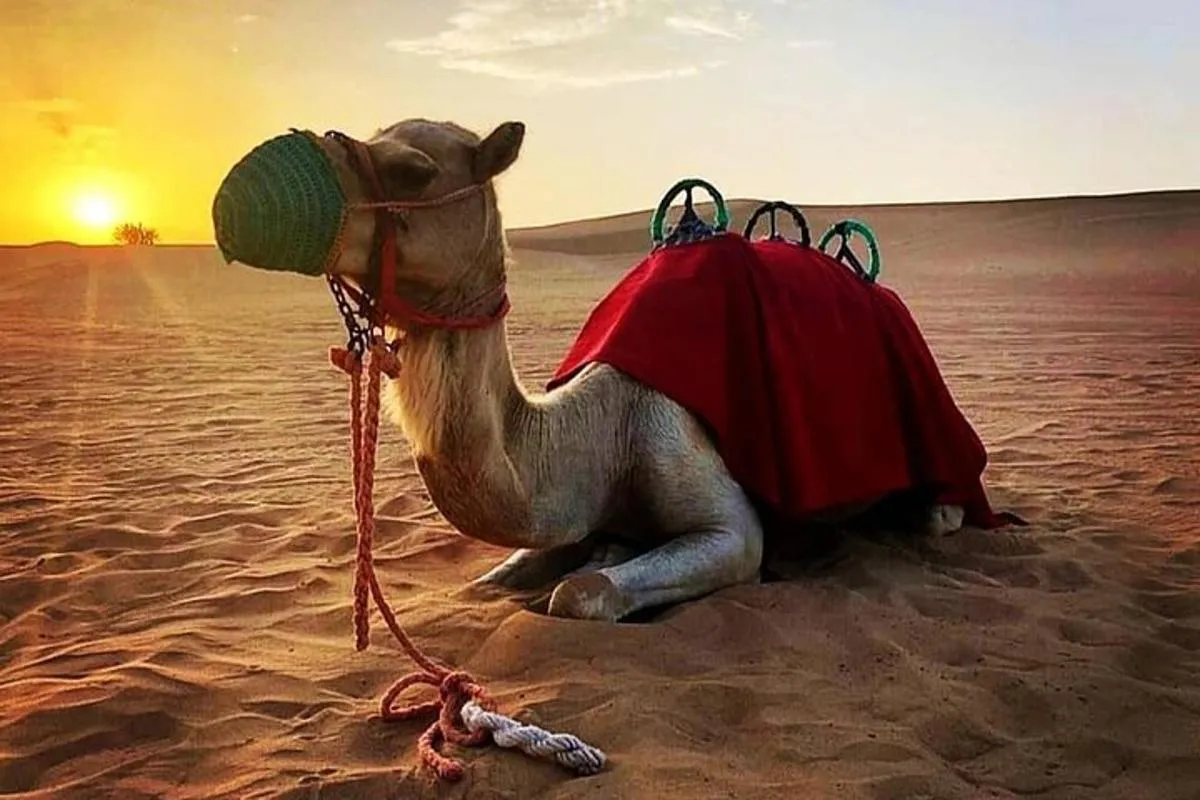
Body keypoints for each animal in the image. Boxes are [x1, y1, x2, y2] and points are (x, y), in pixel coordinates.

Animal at [238, 118, 969, 623]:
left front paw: (598, 568)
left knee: (940, 509)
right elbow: (489, 581)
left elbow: (581, 591)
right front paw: (597, 552)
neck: (597, 434)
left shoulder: (721, 513)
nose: (247, 187)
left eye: (413, 169)